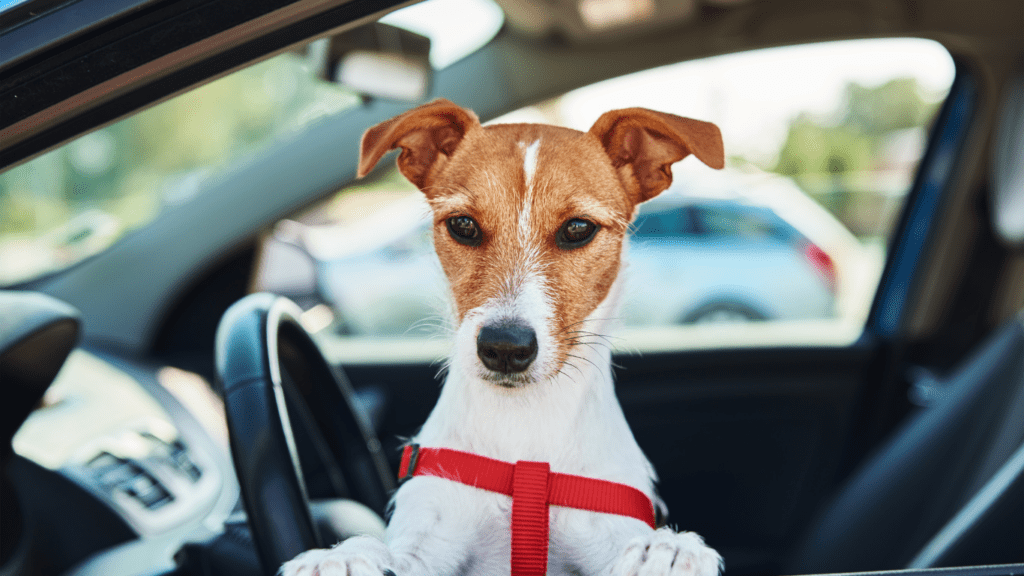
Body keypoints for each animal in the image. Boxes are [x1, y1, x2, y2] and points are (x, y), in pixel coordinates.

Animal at [284, 99, 724, 573]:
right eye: (463, 225)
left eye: (578, 229)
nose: (505, 348)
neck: (523, 445)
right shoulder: (432, 535)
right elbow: (394, 553)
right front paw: (344, 555)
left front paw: (671, 549)